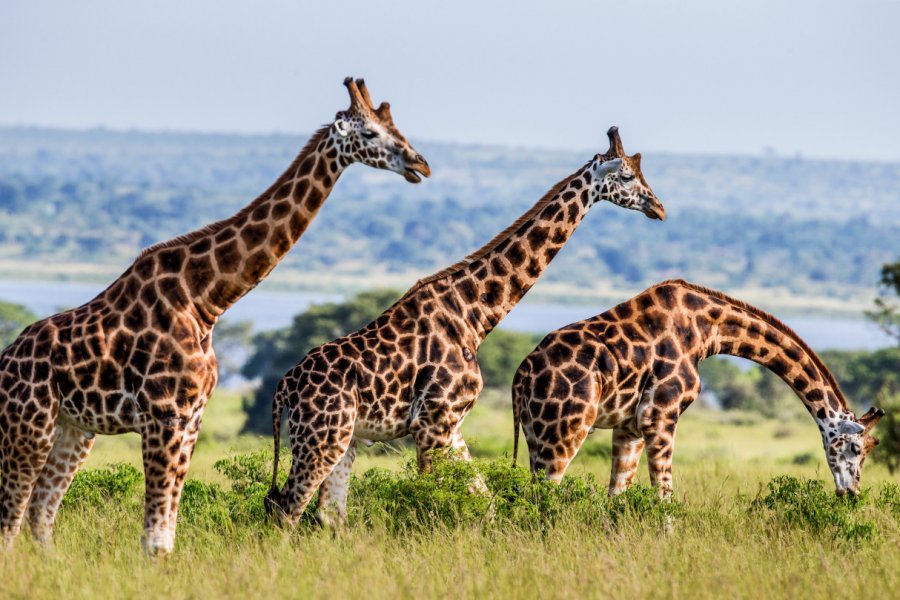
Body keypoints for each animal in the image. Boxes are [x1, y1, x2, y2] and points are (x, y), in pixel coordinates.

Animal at [0, 77, 432, 556]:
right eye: (371, 133)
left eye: (397, 127)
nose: (421, 164)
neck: (205, 300)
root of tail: (4, 362)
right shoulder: (165, 415)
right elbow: (155, 538)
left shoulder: (191, 418)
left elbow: (165, 533)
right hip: (28, 425)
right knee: (11, 520)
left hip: (73, 430)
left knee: (40, 515)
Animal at [264, 125, 664, 524]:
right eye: (627, 176)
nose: (658, 208)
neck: (473, 317)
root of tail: (283, 388)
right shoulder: (432, 423)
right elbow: (426, 497)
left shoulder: (451, 426)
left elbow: (485, 502)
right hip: (321, 438)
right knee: (287, 508)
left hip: (341, 439)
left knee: (326, 513)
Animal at [512, 278, 884, 500]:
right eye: (856, 449)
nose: (851, 493)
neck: (707, 330)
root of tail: (522, 374)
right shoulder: (660, 416)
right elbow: (664, 496)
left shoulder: (629, 428)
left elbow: (617, 495)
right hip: (566, 430)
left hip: (536, 434)